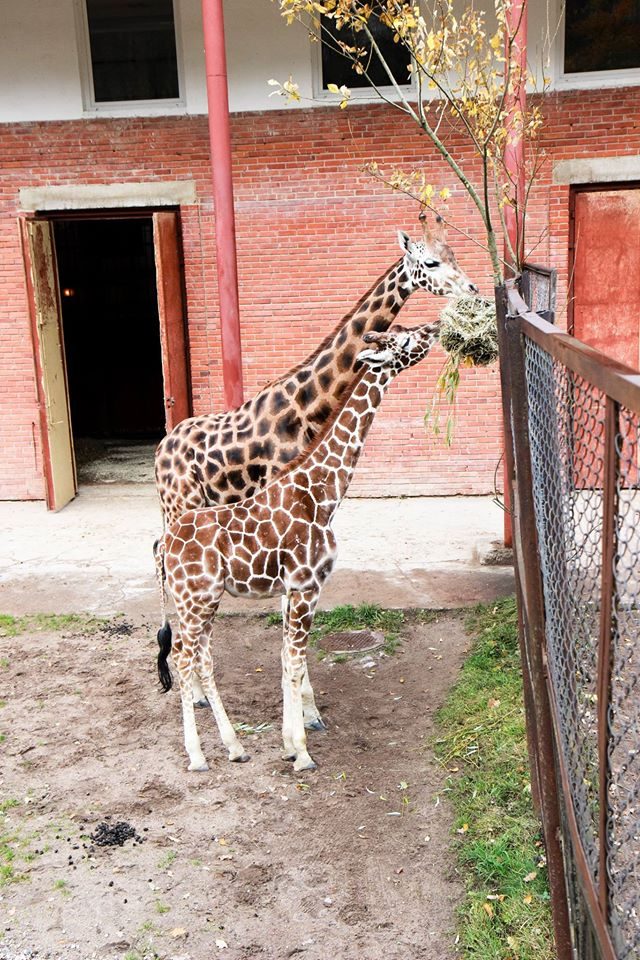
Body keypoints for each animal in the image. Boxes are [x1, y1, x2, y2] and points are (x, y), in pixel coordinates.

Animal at [155, 221, 476, 528]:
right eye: (431, 262)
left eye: (454, 255)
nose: (471, 288)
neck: (309, 404)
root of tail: (161, 450)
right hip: (181, 502)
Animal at [156, 320, 442, 772]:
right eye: (406, 339)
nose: (436, 327)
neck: (324, 493)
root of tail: (163, 548)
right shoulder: (307, 585)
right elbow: (294, 660)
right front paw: (302, 752)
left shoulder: (292, 588)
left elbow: (286, 658)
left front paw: (290, 743)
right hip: (196, 599)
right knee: (185, 658)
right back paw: (199, 756)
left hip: (201, 601)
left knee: (196, 656)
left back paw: (234, 746)